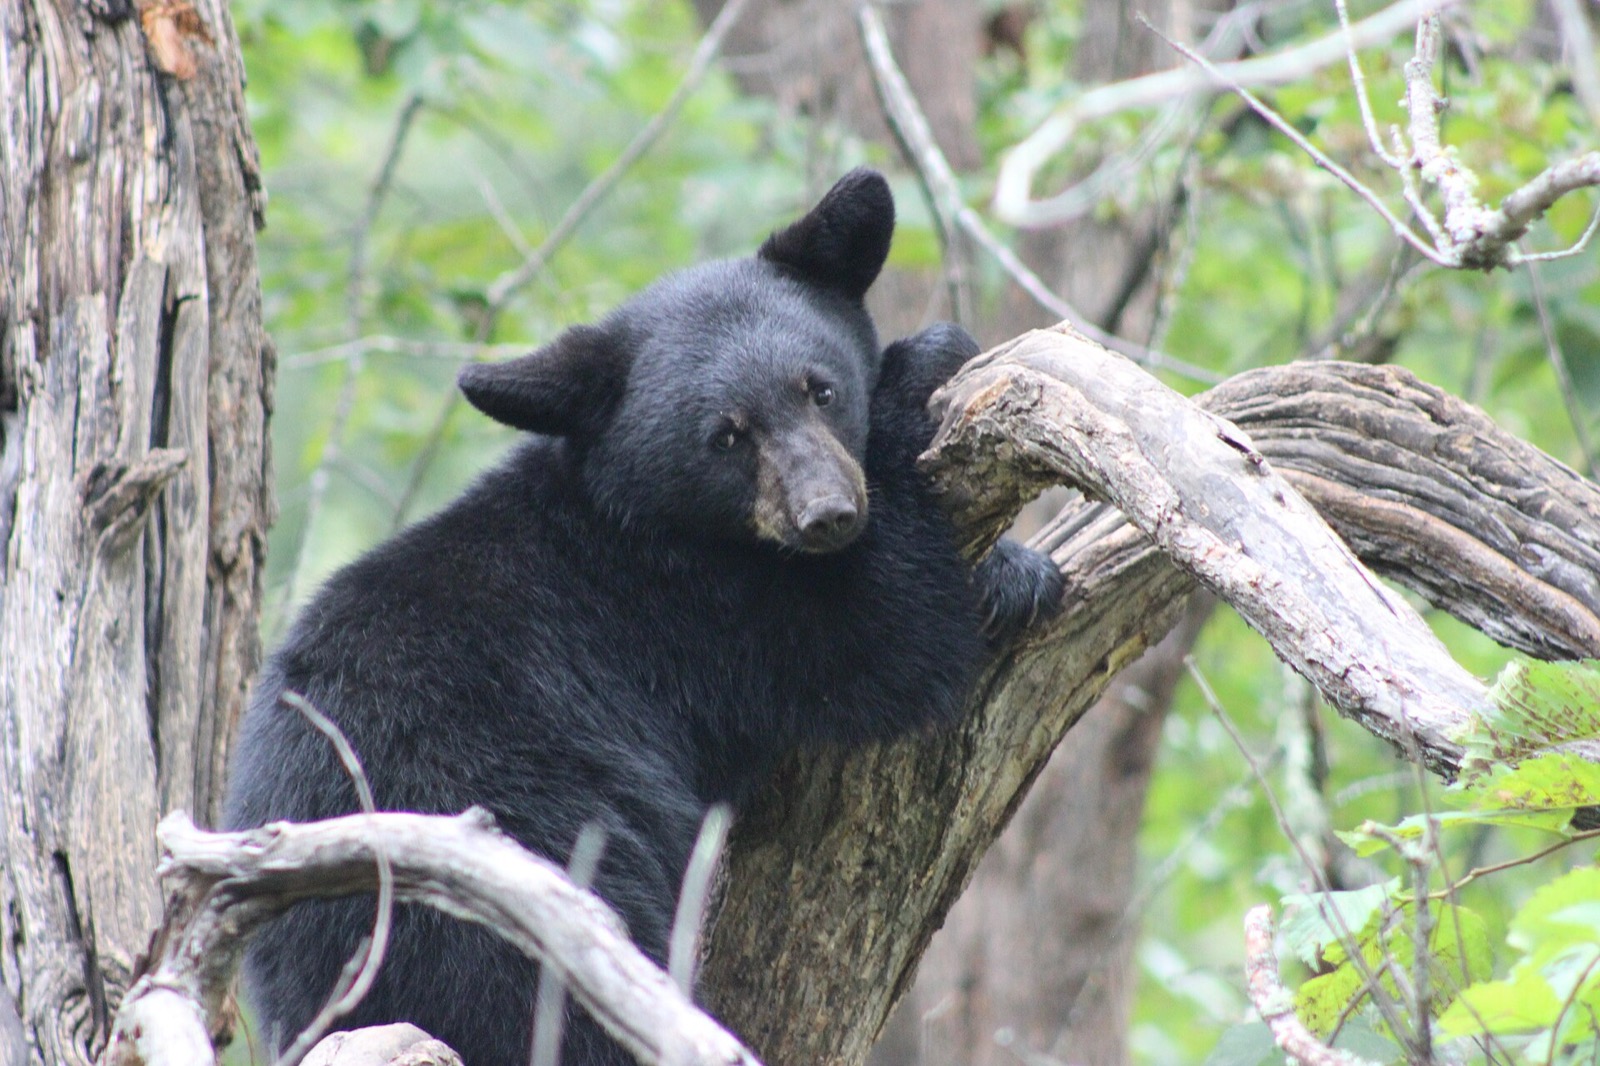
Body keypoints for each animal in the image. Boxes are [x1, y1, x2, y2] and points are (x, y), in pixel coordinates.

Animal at [224, 168, 1063, 1066]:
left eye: (820, 388)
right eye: (726, 436)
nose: (827, 514)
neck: (636, 519)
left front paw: (1017, 571)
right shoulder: (698, 618)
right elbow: (888, 635)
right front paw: (925, 363)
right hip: (507, 872)